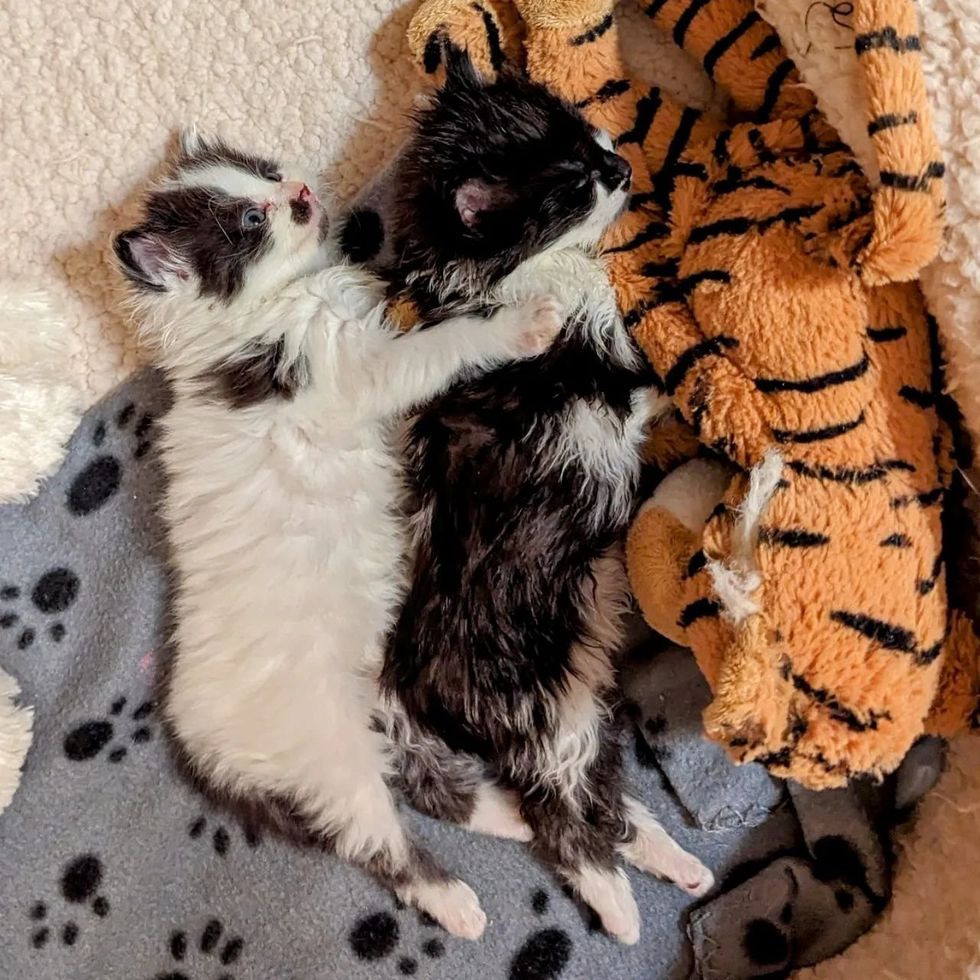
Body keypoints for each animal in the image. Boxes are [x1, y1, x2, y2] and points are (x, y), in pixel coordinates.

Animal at [109, 134, 560, 936]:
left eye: (264, 174)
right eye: (251, 221)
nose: (300, 195)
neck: (278, 309)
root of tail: (192, 741)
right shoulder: (361, 371)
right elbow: (442, 345)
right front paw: (519, 324)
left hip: (383, 686)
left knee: (417, 771)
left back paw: (505, 816)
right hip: (327, 750)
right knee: (376, 839)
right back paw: (457, 905)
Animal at [374, 51, 712, 940]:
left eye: (591, 139)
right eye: (574, 185)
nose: (622, 168)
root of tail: (413, 673)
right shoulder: (594, 375)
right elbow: (646, 386)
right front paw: (697, 403)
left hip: (576, 694)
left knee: (605, 801)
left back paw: (679, 866)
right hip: (538, 704)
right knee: (561, 815)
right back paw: (619, 910)